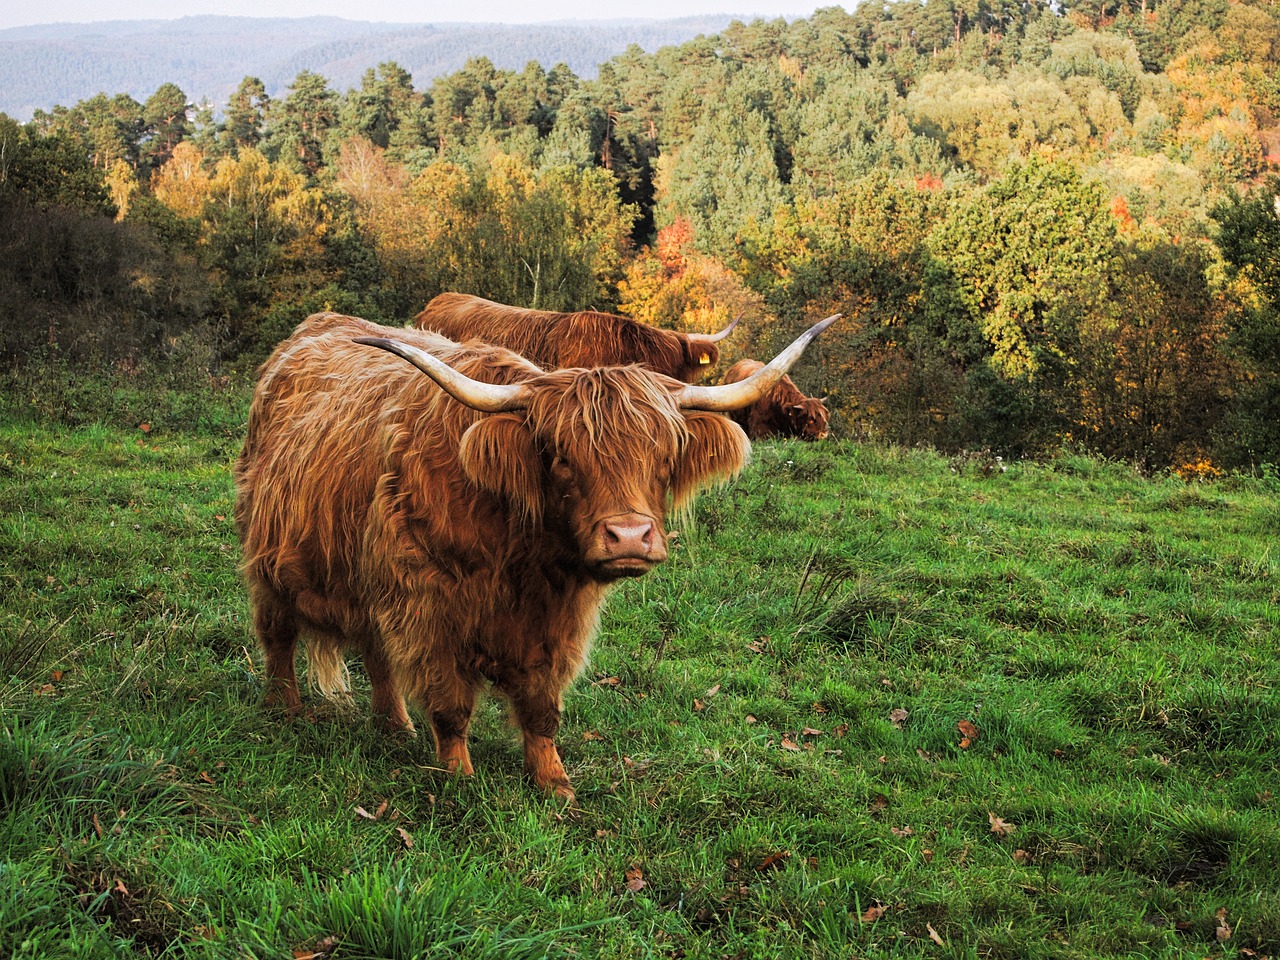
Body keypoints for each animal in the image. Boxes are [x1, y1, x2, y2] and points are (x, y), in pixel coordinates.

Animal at [238, 312, 839, 798]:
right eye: (560, 456)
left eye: (665, 455)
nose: (629, 537)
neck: (523, 556)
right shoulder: (430, 606)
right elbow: (451, 704)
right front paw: (458, 778)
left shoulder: (560, 623)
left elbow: (542, 707)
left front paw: (554, 784)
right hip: (267, 560)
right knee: (278, 636)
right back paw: (285, 709)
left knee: (375, 650)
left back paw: (395, 727)